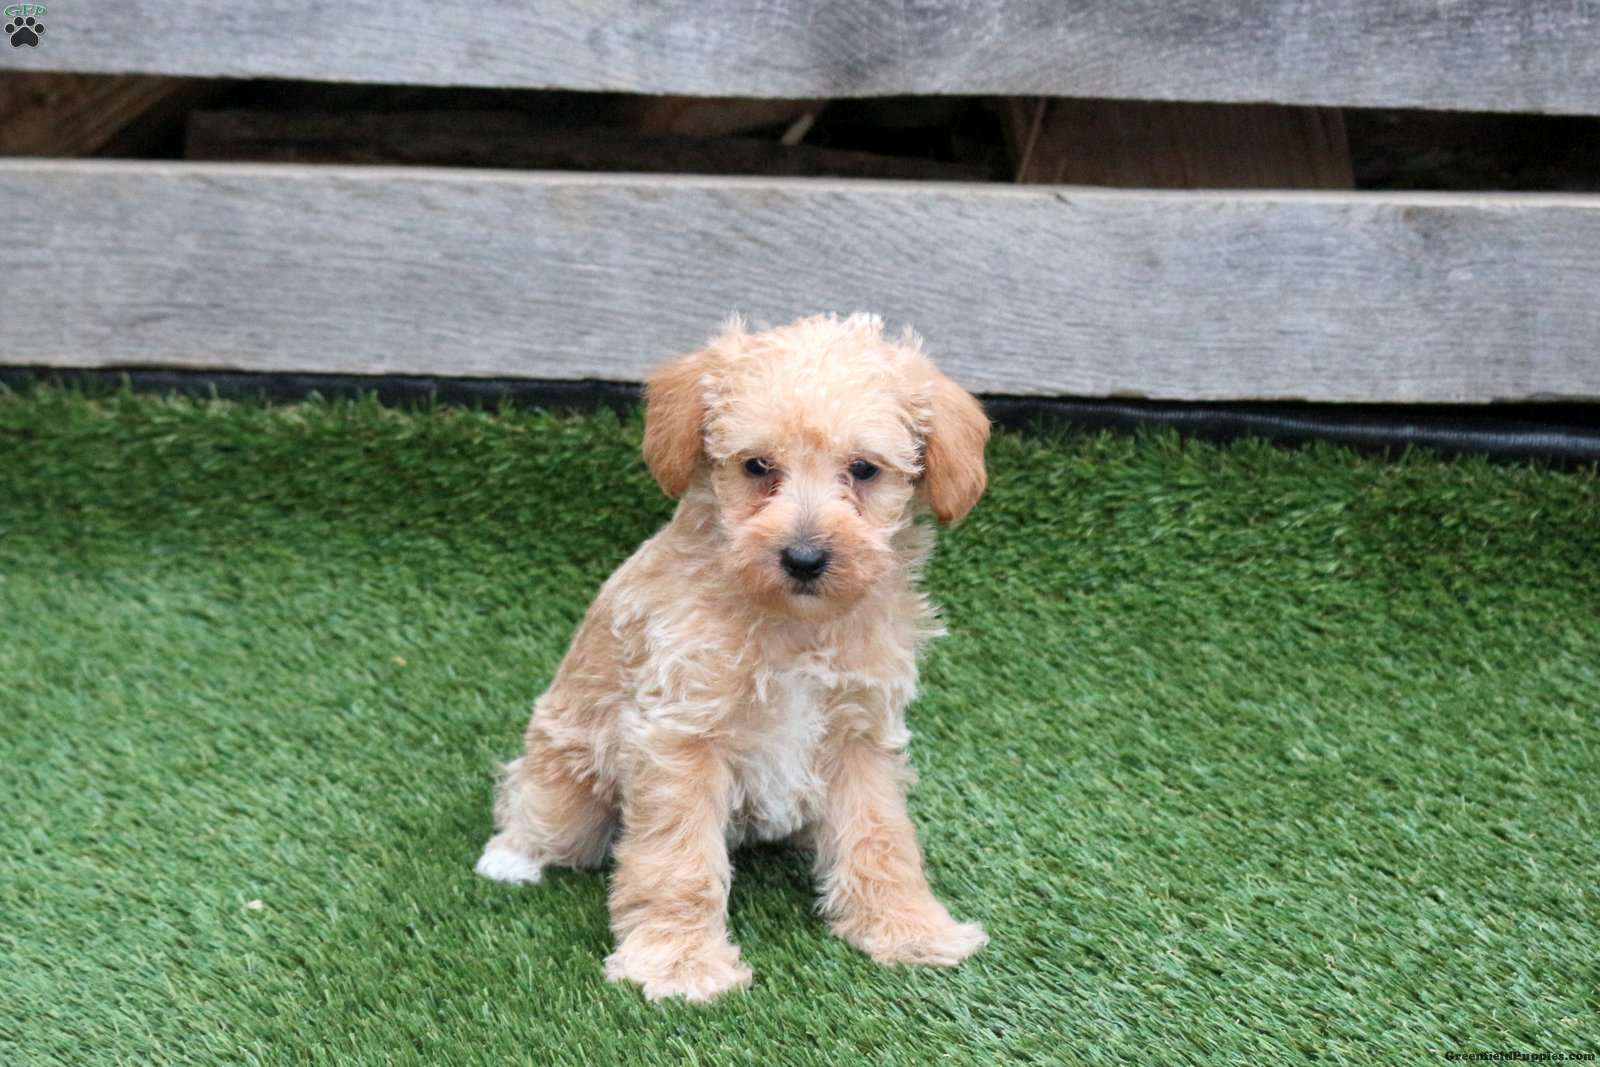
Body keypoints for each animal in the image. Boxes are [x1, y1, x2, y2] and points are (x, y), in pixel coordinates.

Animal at [475, 313, 991, 1002]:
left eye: (863, 469)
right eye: (756, 465)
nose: (804, 558)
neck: (795, 627)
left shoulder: (861, 734)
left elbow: (880, 837)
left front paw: (906, 927)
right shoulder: (682, 735)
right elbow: (678, 859)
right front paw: (678, 962)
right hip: (568, 787)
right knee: (533, 808)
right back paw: (509, 858)